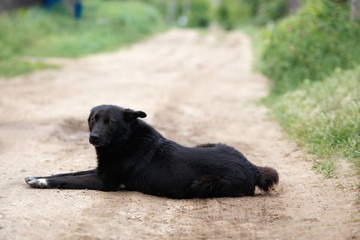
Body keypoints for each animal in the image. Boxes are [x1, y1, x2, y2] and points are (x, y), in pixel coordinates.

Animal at [24, 104, 278, 198]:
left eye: (110, 122)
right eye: (93, 119)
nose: (93, 137)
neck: (126, 141)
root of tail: (253, 167)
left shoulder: (106, 181)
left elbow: (67, 180)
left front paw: (41, 182)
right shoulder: (100, 171)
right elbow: (65, 174)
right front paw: (37, 177)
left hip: (200, 185)